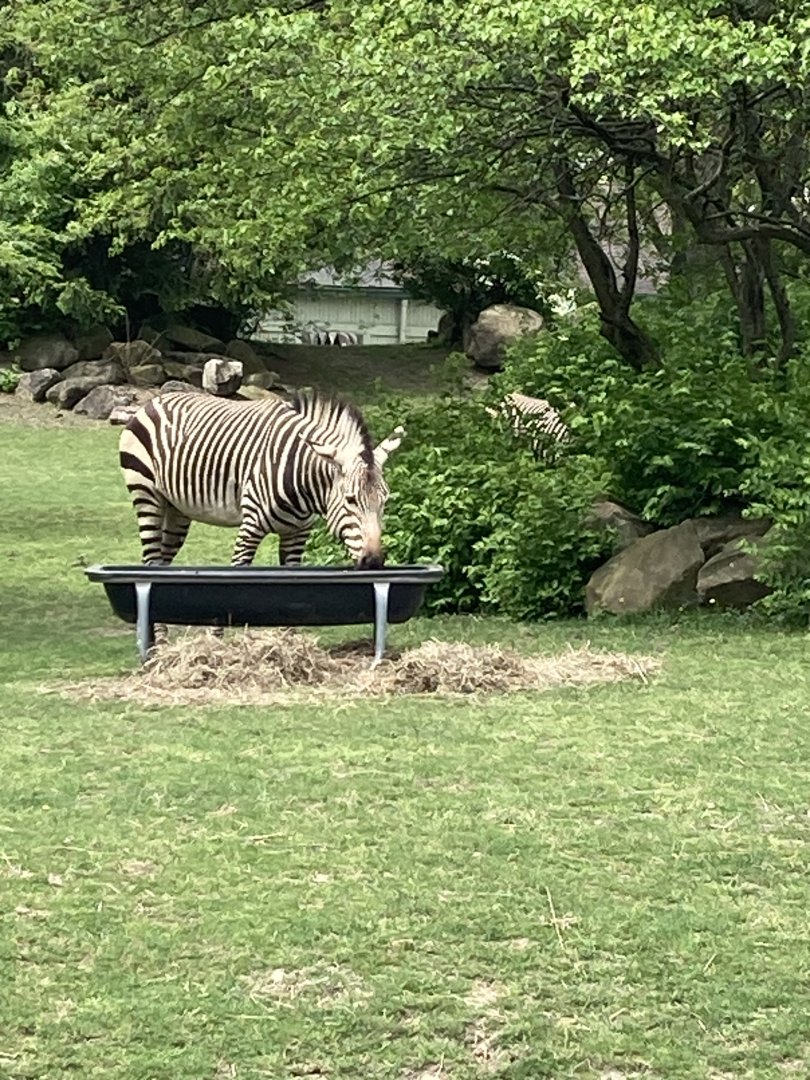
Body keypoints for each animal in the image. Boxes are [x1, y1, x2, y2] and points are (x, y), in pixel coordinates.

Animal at [119, 390, 405, 571]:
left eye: (385, 502)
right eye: (350, 500)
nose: (374, 562)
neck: (305, 487)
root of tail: (155, 400)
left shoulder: (297, 534)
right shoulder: (250, 527)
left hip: (177, 509)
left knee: (163, 563)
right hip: (146, 495)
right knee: (151, 561)